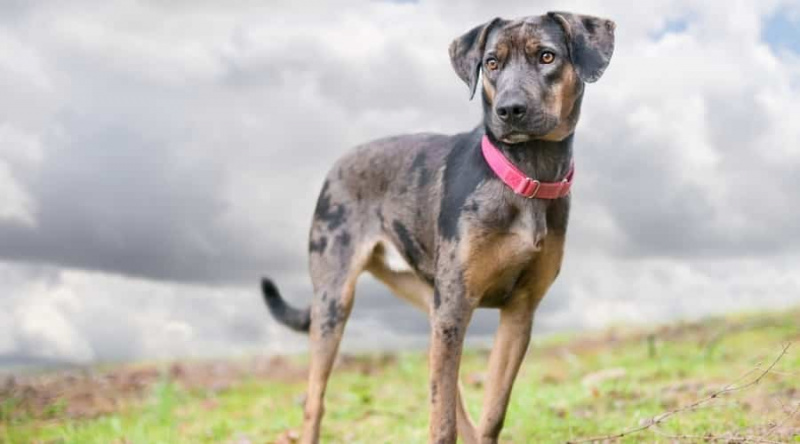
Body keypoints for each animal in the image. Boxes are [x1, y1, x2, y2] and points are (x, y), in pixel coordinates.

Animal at [262, 11, 612, 444]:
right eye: (491, 63)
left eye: (547, 56)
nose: (509, 110)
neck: (526, 173)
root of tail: (338, 164)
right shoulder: (456, 305)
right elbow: (442, 422)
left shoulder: (519, 311)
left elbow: (492, 413)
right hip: (335, 300)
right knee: (315, 402)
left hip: (427, 299)